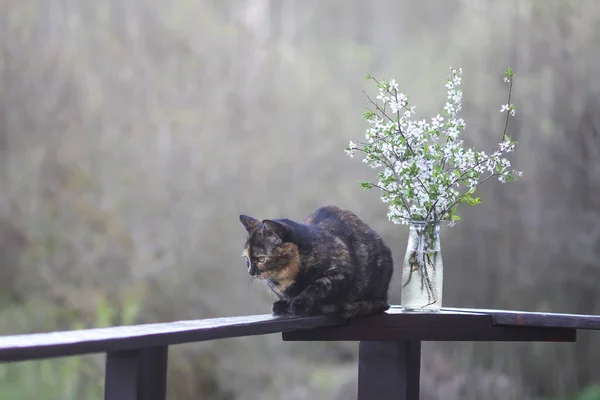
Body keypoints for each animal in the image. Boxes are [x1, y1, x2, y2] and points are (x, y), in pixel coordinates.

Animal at [237, 206, 396, 318]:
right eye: (247, 259)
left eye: (261, 258)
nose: (251, 272)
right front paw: (283, 303)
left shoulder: (340, 272)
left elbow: (316, 286)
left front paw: (298, 303)